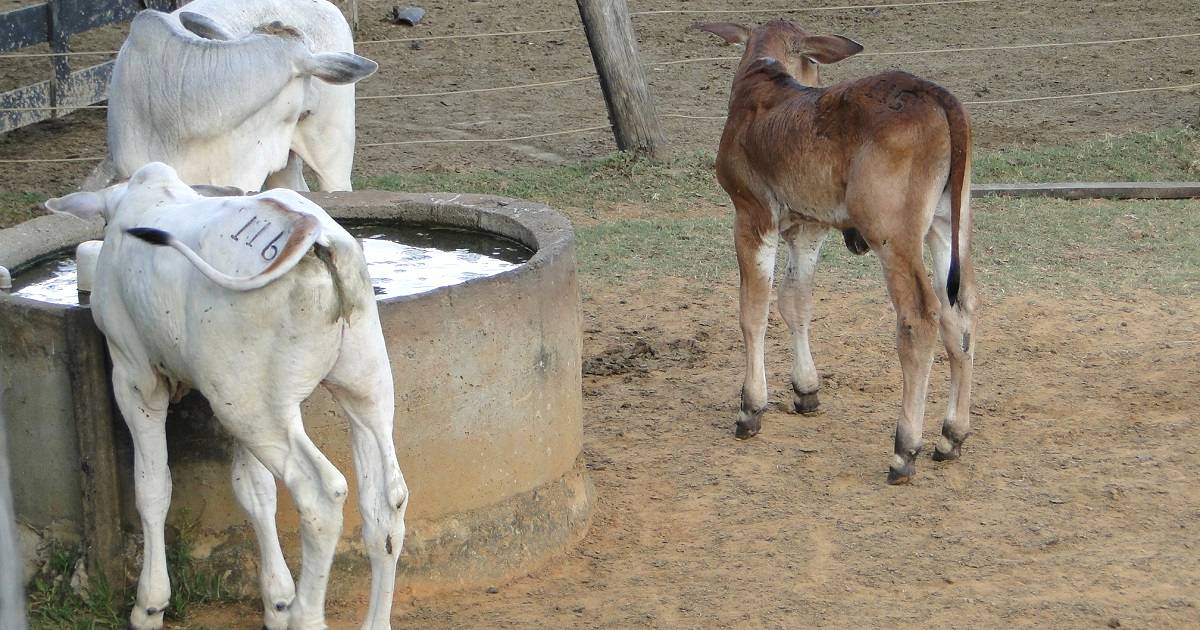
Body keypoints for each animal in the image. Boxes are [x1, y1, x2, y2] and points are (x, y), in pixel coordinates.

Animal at [45, 163, 408, 628]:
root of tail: (314, 240)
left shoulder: (135, 377)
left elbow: (152, 487)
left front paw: (150, 605)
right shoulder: (229, 394)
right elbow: (255, 492)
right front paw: (276, 601)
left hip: (258, 410)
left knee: (322, 496)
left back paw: (306, 614)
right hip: (351, 388)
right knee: (386, 501)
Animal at [700, 19, 974, 482]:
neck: (763, 80)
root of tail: (933, 94)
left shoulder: (751, 216)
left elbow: (752, 312)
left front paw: (751, 406)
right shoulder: (808, 229)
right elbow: (795, 303)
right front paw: (806, 389)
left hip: (892, 236)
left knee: (921, 317)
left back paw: (905, 448)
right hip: (948, 225)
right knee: (961, 313)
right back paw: (951, 435)